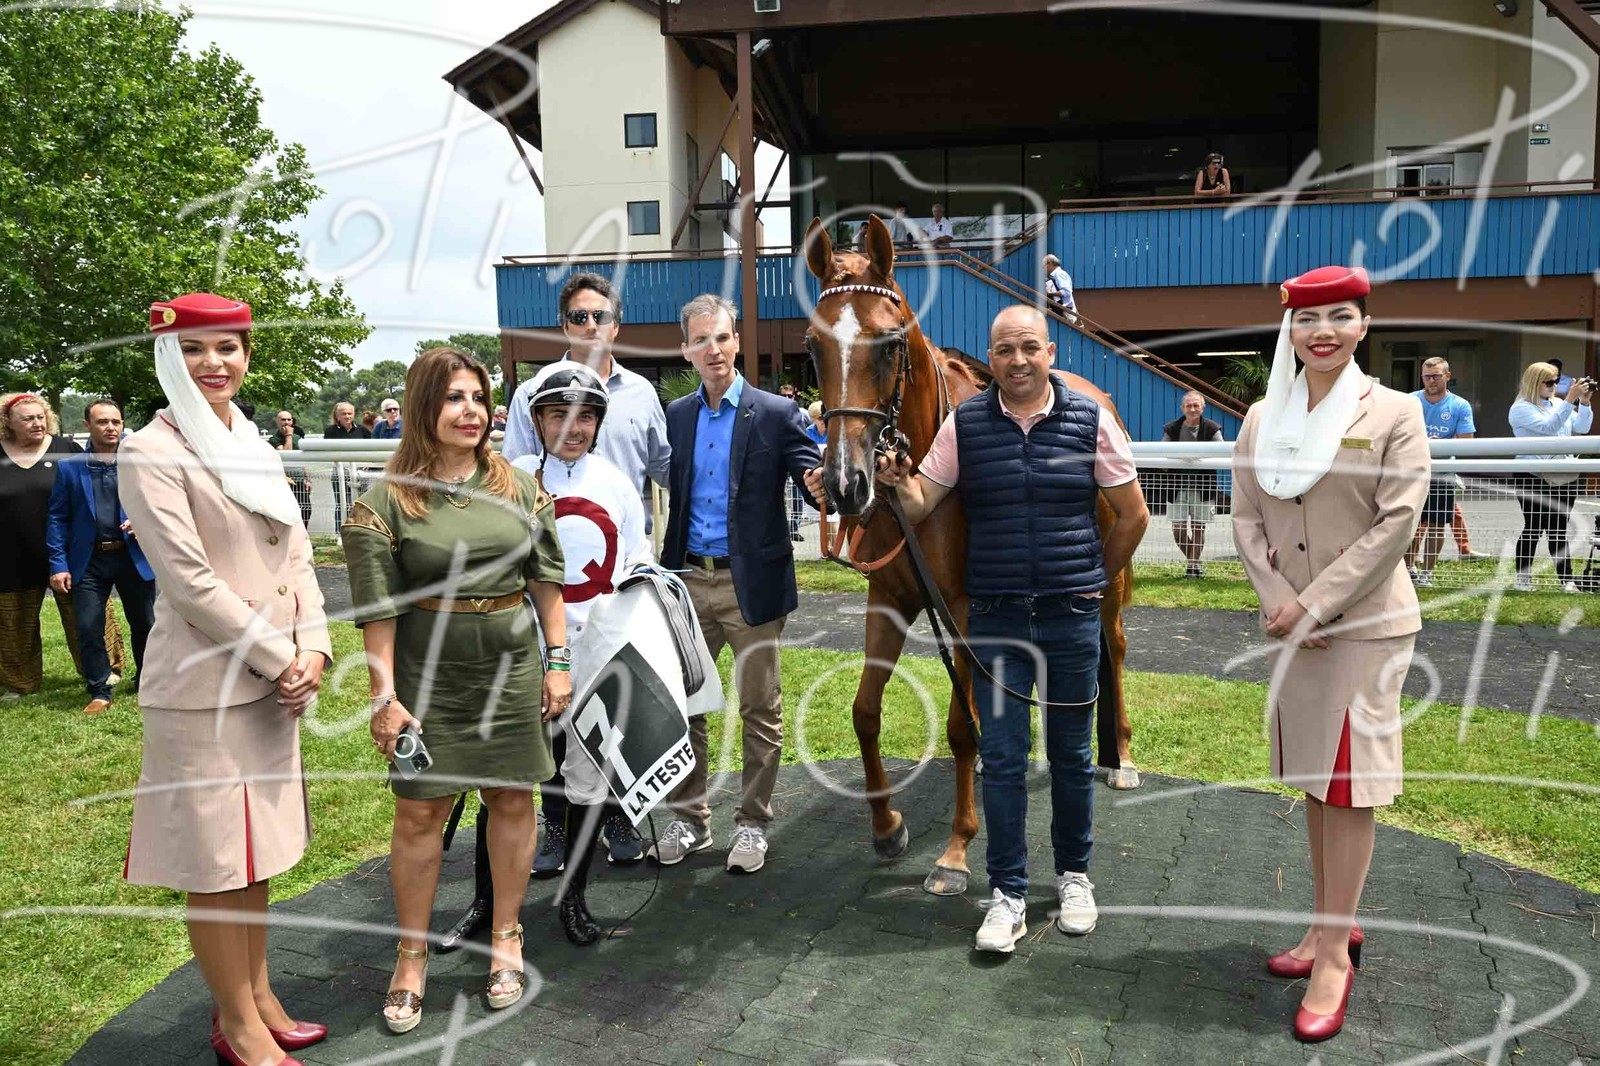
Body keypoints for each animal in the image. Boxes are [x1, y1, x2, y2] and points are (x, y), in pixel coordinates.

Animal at [802, 213, 1138, 897]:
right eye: (813, 347)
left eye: (889, 344)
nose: (846, 483)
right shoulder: (889, 599)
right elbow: (865, 712)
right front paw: (887, 827)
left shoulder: (961, 606)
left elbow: (958, 727)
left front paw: (956, 851)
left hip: (1109, 585)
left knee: (1112, 652)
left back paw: (1120, 757)